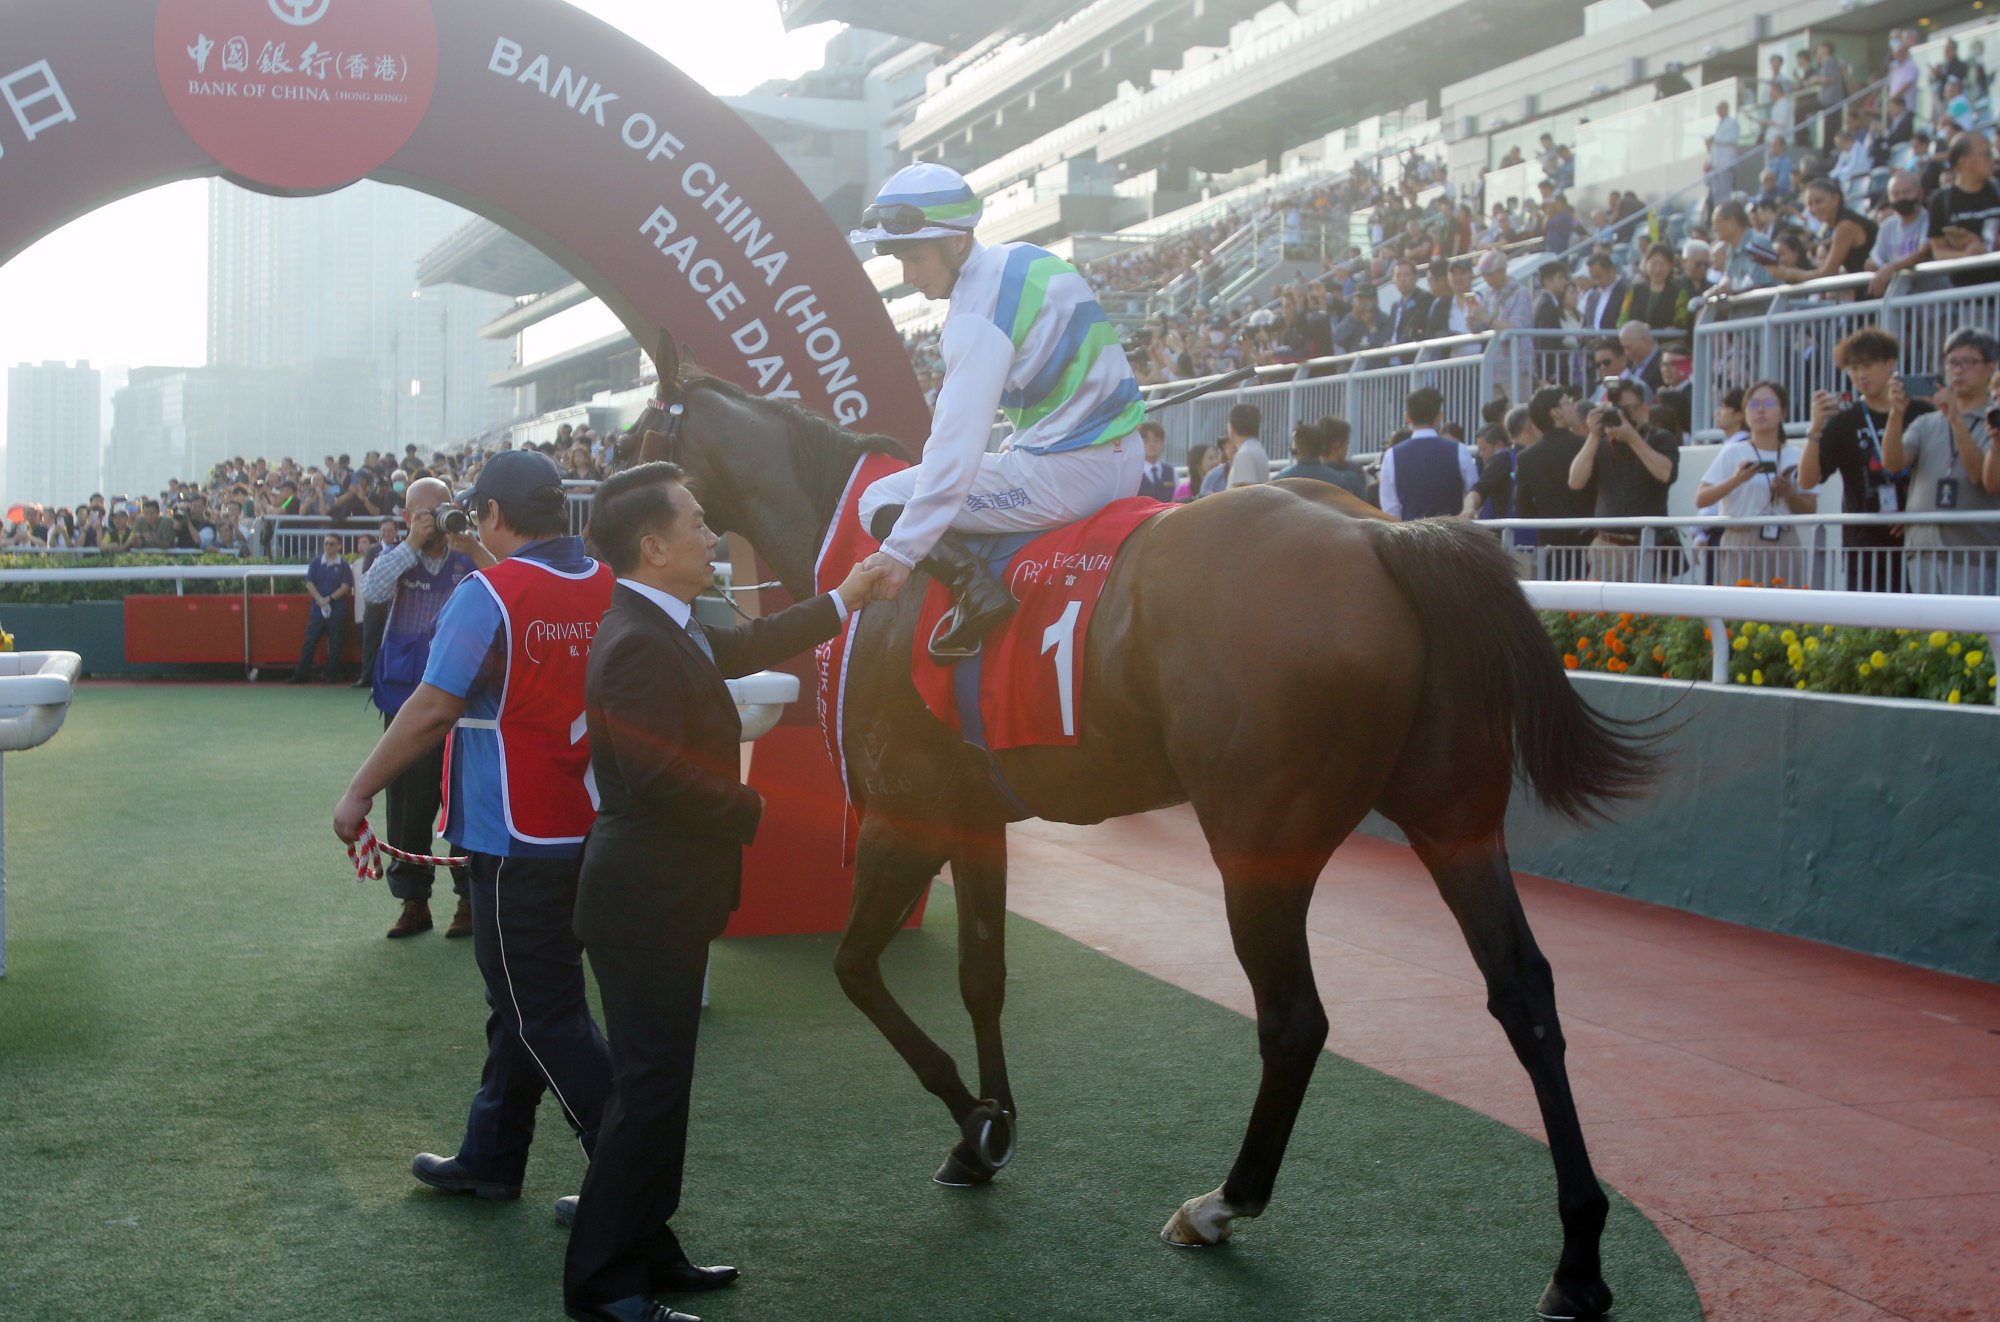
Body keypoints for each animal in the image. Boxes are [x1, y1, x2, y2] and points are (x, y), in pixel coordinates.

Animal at [616, 336, 1648, 1312]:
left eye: (631, 444)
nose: (604, 524)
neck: (881, 574)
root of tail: (1373, 537)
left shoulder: (906, 816)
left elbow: (856, 970)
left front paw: (973, 1122)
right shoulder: (974, 816)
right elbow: (982, 974)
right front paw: (988, 1128)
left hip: (1258, 839)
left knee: (1295, 1019)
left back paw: (1224, 1203)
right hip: (1452, 815)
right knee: (1523, 994)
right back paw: (1578, 1259)